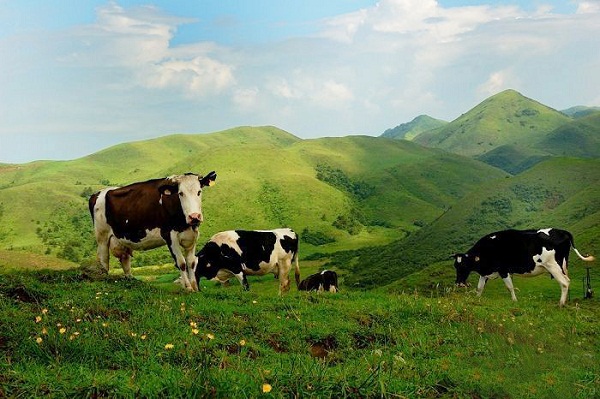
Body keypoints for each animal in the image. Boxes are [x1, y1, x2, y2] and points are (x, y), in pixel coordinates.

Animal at [454, 228, 596, 306]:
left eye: (464, 265)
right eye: (455, 266)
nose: (458, 283)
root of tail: (562, 231)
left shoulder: (503, 270)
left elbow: (510, 287)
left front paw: (514, 300)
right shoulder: (485, 272)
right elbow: (479, 287)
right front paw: (477, 299)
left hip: (553, 266)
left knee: (565, 282)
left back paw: (560, 304)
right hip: (563, 266)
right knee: (567, 281)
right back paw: (565, 302)